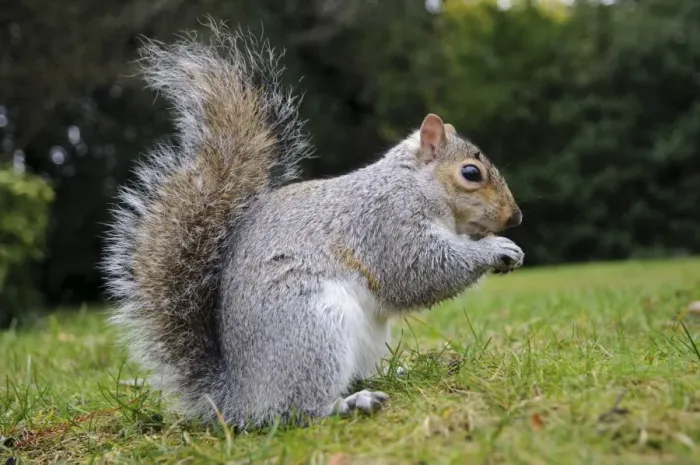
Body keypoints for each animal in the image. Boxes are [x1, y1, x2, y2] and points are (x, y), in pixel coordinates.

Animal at [103, 20, 524, 430]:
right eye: (470, 173)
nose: (515, 217)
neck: (414, 184)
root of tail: (239, 399)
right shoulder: (385, 224)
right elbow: (420, 271)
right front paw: (496, 249)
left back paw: (393, 373)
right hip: (313, 328)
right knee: (296, 410)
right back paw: (351, 403)